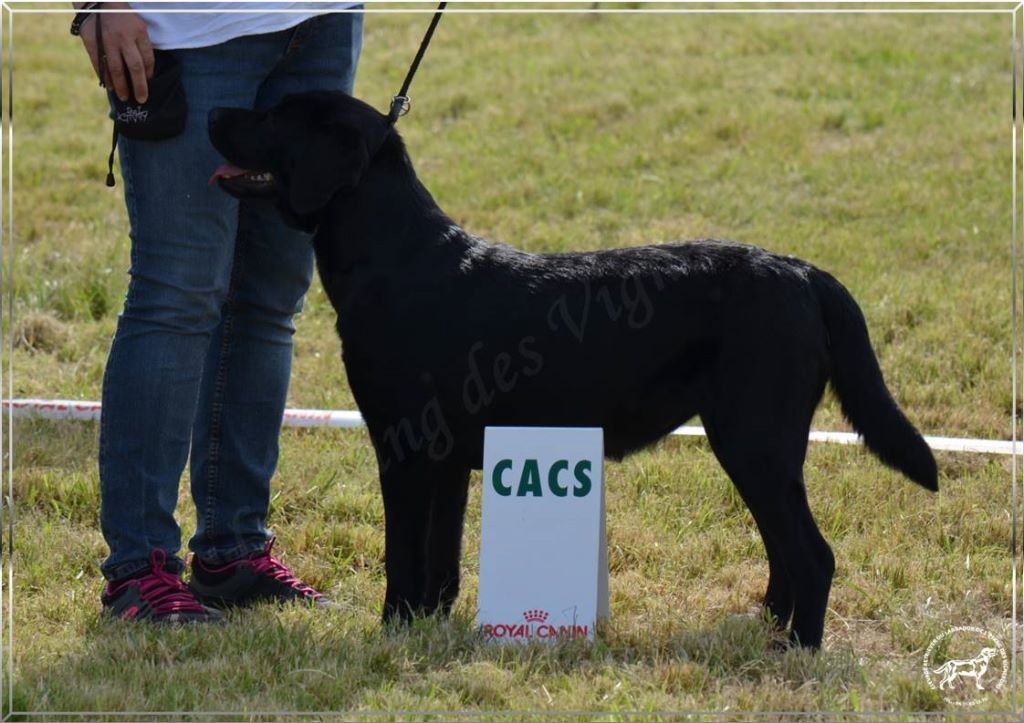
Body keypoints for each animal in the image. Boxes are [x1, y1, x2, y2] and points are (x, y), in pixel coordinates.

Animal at [207, 90, 937, 647]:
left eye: (274, 115)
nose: (213, 110)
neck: (395, 257)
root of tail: (805, 273)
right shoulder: (448, 461)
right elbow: (441, 563)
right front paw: (432, 629)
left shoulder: (406, 449)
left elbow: (403, 560)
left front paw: (391, 632)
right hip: (760, 446)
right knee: (785, 548)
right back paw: (764, 628)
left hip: (752, 438)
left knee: (811, 553)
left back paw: (796, 649)